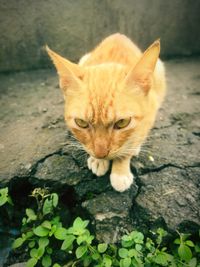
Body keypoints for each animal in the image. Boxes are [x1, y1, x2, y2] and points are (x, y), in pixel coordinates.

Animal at [46, 33, 166, 193]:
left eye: (122, 123)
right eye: (81, 122)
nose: (100, 154)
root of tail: (118, 35)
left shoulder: (148, 117)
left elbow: (129, 146)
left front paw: (120, 172)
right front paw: (98, 161)